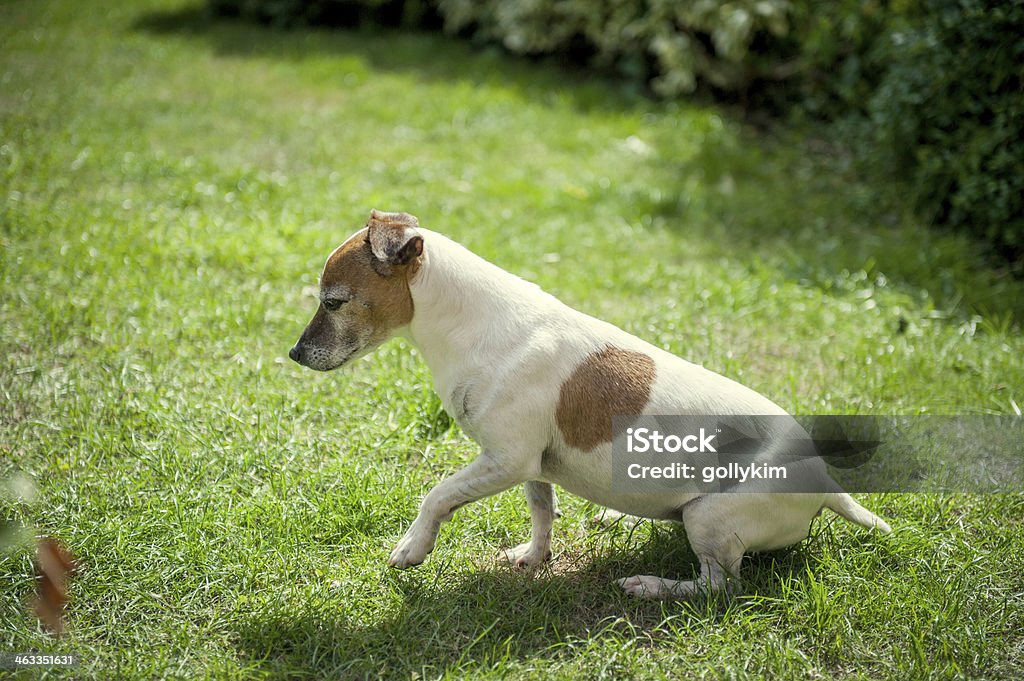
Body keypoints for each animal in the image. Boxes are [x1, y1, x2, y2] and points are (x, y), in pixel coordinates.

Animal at [288, 209, 888, 598]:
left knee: (718, 587)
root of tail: (826, 483)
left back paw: (650, 586)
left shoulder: (504, 460)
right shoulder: (530, 465)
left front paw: (412, 548)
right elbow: (541, 512)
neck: (472, 324)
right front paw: (533, 558)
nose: (294, 353)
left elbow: (436, 496)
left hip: (709, 518)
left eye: (333, 302)